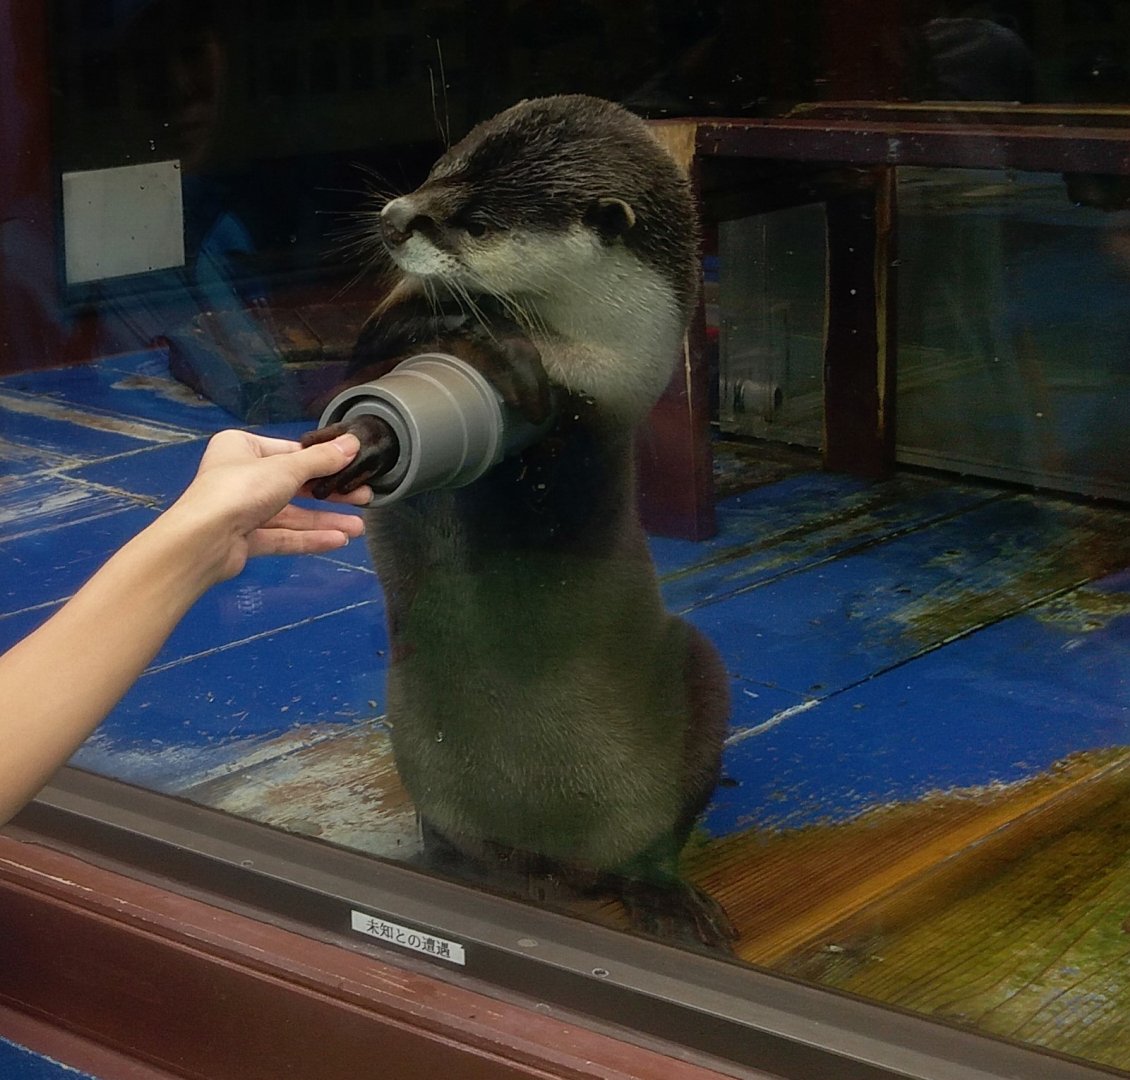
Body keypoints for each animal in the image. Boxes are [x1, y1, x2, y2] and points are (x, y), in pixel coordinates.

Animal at [305, 95, 735, 948]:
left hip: (700, 678)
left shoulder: (608, 409)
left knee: (655, 840)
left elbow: (554, 485)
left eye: (478, 224)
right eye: (437, 168)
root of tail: (553, 867)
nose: (395, 218)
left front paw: (507, 353)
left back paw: (670, 900)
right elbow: (364, 364)